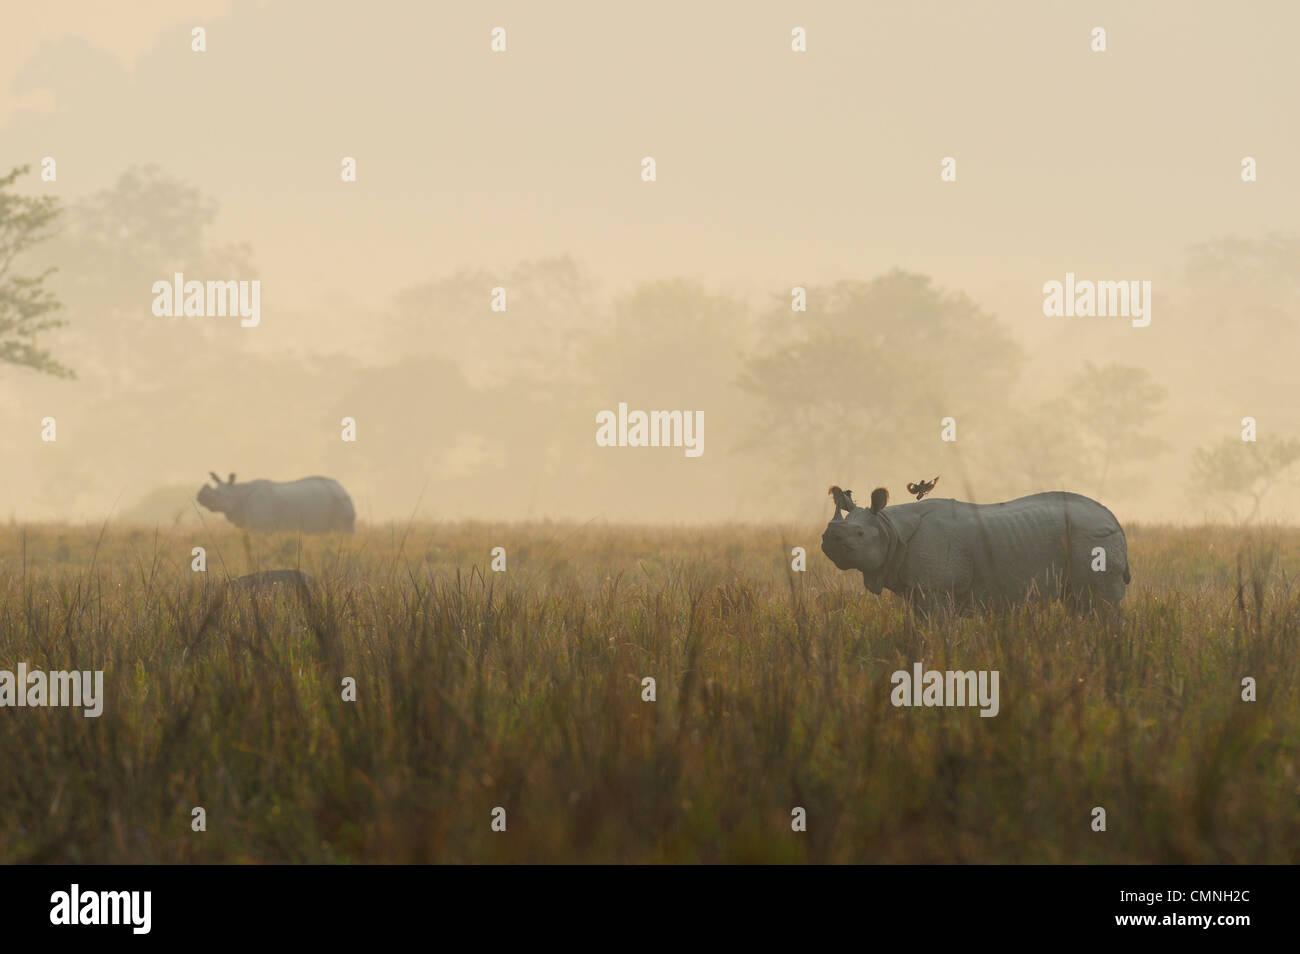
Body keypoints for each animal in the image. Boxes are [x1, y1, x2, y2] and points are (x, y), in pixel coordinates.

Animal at [196, 473, 356, 535]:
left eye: (218, 495)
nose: (199, 497)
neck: (237, 492)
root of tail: (342, 487)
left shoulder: (261, 525)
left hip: (341, 500)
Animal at [821, 488, 1128, 616]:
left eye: (859, 535)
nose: (827, 539)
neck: (889, 527)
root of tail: (1116, 521)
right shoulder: (917, 588)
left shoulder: (936, 588)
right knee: (1077, 604)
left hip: (1092, 538)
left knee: (1098, 605)